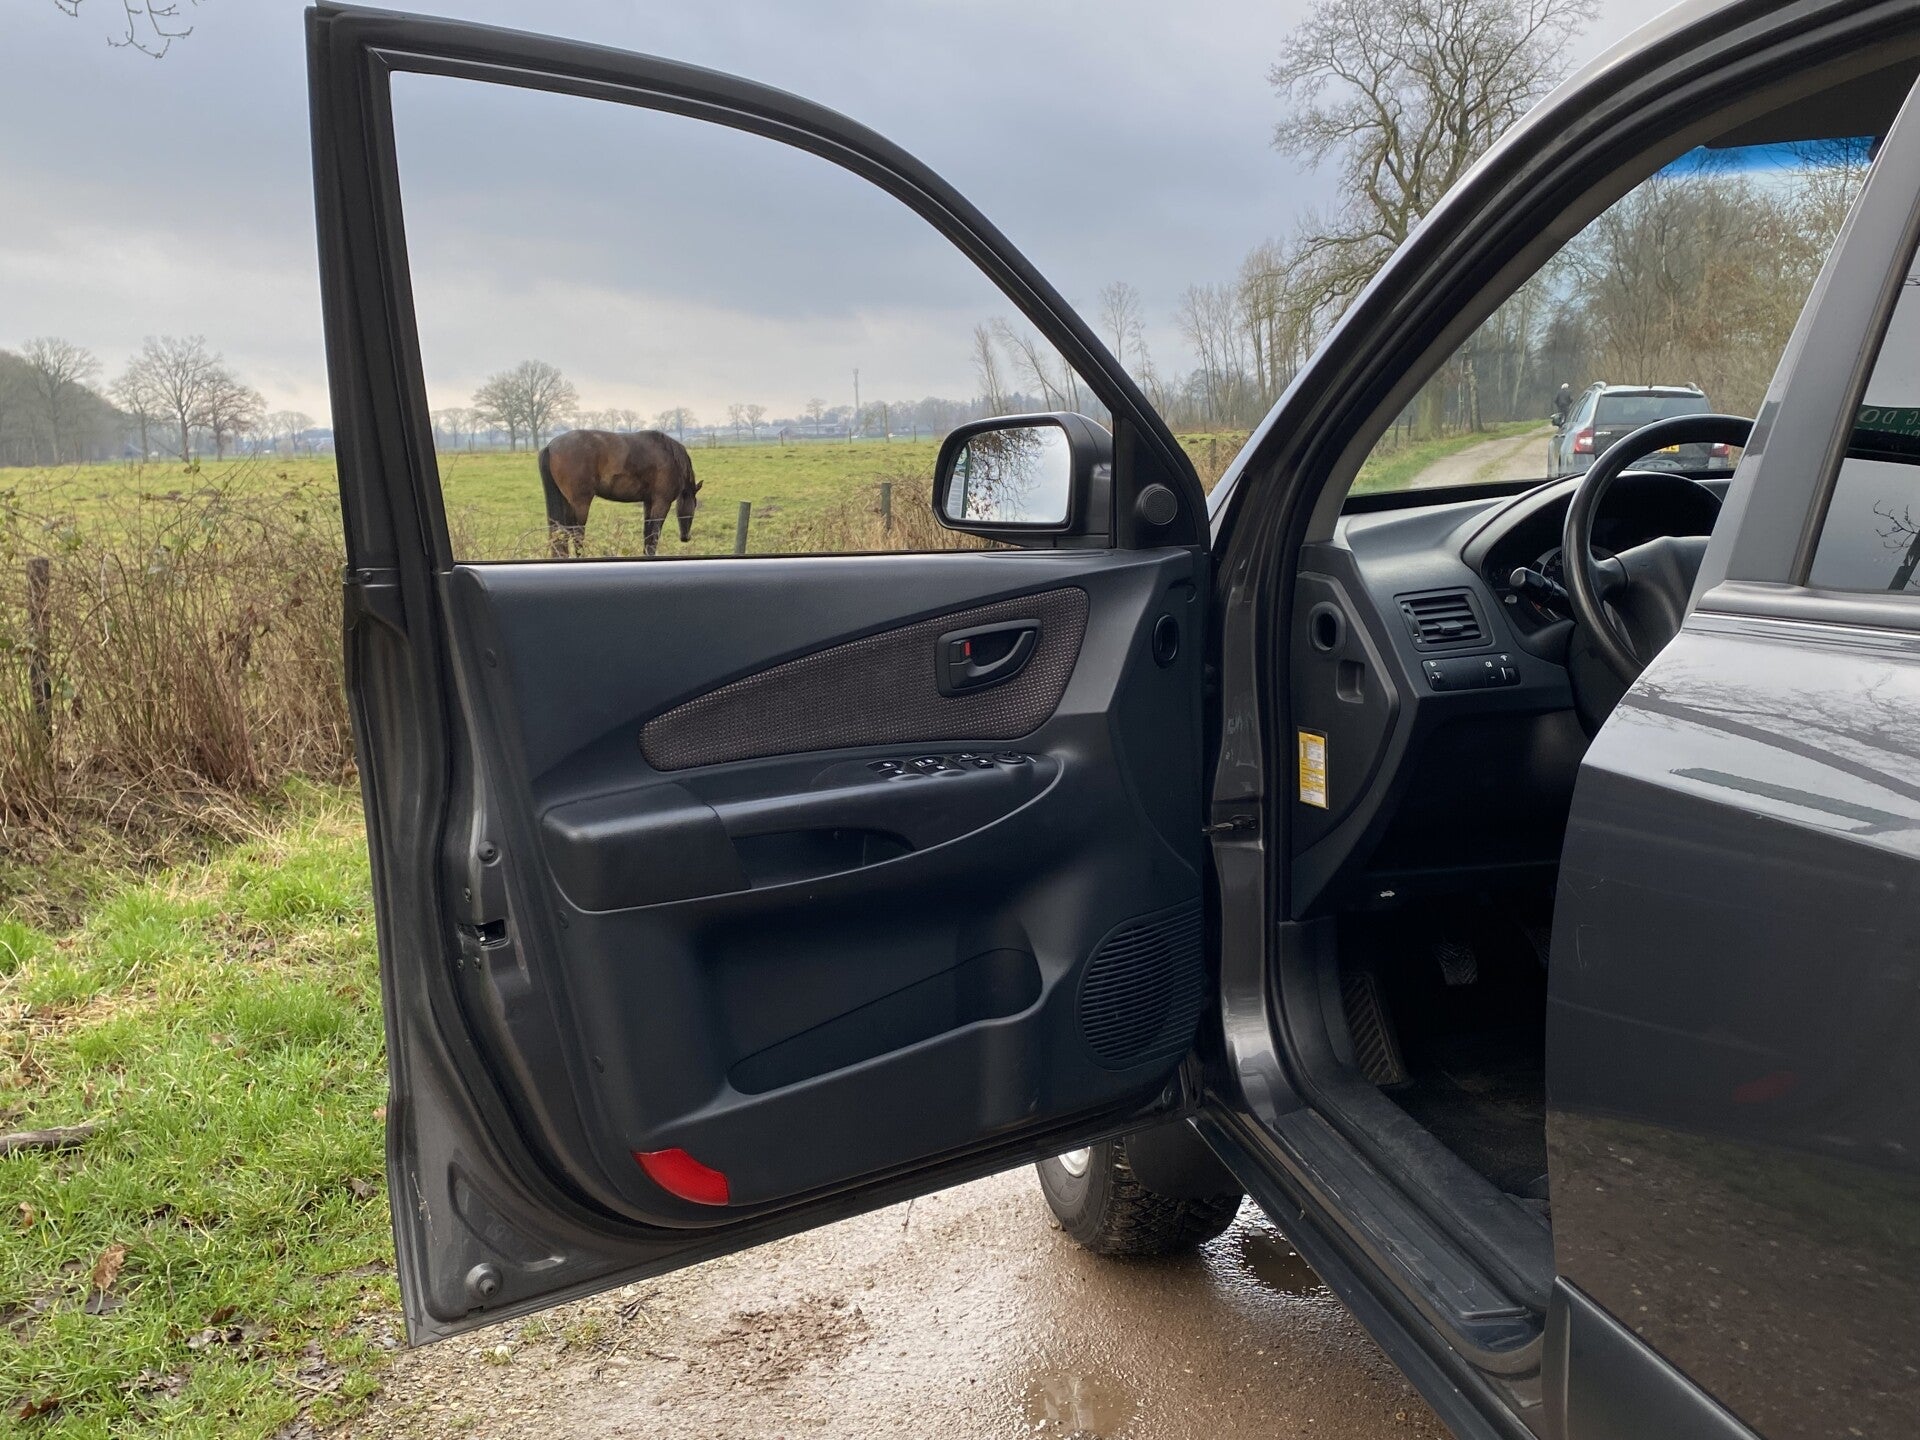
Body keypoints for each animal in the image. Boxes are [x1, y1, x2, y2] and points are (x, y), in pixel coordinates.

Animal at [538, 428, 702, 558]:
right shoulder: (661, 502)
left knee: (560, 533)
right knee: (576, 535)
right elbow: (654, 534)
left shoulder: (649, 502)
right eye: (694, 505)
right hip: (580, 504)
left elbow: (647, 534)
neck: (670, 455)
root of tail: (550, 446)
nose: (686, 537)